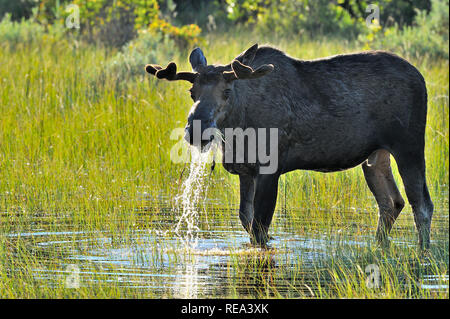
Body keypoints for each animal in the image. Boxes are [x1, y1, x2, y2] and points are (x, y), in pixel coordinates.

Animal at [146, 43, 434, 251]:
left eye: (226, 92)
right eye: (192, 93)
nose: (196, 129)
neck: (237, 129)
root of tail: (422, 79)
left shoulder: (270, 168)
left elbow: (260, 227)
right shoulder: (245, 171)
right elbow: (246, 220)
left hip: (409, 146)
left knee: (422, 205)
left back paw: (423, 252)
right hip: (374, 156)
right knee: (391, 202)